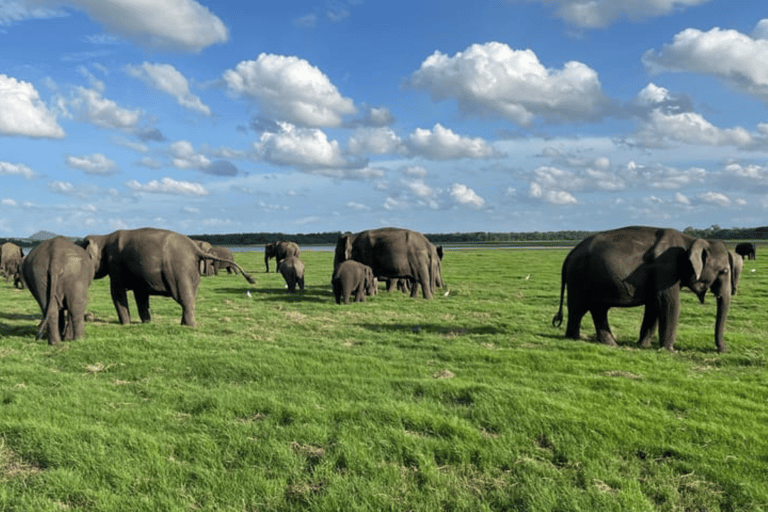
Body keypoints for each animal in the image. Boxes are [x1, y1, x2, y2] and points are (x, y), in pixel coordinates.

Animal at [80, 227, 255, 326]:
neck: (104, 237)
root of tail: (195, 249)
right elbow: (141, 295)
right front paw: (146, 323)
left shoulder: (115, 264)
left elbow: (117, 292)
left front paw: (126, 324)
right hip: (191, 272)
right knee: (190, 298)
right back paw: (184, 324)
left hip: (180, 270)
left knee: (184, 298)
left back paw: (189, 326)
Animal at [552, 227, 732, 352]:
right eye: (724, 271)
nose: (723, 350)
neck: (690, 241)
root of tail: (569, 254)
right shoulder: (666, 270)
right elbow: (668, 303)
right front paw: (669, 350)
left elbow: (653, 306)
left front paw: (642, 346)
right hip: (579, 279)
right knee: (579, 308)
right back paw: (574, 338)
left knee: (598, 309)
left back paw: (611, 344)